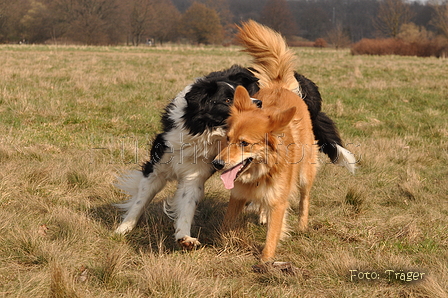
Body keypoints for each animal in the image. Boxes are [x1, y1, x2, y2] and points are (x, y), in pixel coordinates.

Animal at [112, 65, 354, 249]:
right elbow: (141, 200)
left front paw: (184, 237)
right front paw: (123, 229)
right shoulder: (159, 163)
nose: (258, 103)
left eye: (241, 94)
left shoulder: (195, 174)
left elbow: (187, 205)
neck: (202, 129)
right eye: (227, 100)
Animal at [212, 21, 316, 262]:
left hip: (305, 173)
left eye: (244, 143)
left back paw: (302, 224)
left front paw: (265, 263)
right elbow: (225, 225)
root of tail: (279, 85)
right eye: (228, 139)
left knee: (304, 197)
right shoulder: (237, 196)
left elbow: (272, 237)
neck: (260, 173)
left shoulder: (278, 201)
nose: (217, 164)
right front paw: (221, 247)